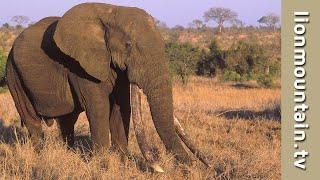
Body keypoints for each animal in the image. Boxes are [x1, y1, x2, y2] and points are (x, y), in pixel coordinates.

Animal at [5, 2, 210, 170]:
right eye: (128, 45)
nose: (197, 166)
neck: (112, 12)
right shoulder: (80, 65)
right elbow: (98, 107)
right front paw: (102, 165)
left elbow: (122, 107)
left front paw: (122, 162)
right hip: (13, 74)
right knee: (31, 118)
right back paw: (39, 157)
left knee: (67, 120)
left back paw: (68, 153)